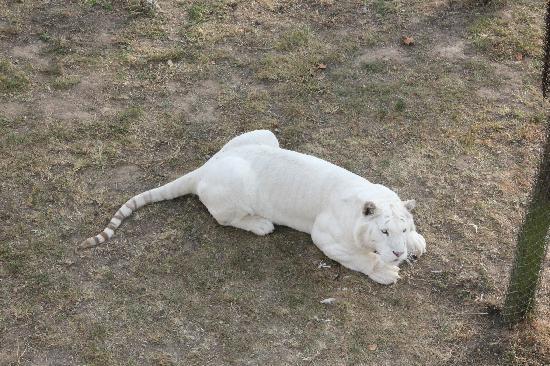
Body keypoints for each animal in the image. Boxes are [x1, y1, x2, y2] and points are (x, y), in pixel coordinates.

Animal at [81, 130, 426, 284]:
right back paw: (261, 224)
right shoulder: (325, 237)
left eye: (403, 228)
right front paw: (386, 271)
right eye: (384, 232)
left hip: (264, 134)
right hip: (237, 188)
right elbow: (361, 259)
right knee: (225, 219)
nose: (398, 253)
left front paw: (416, 243)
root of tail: (205, 168)